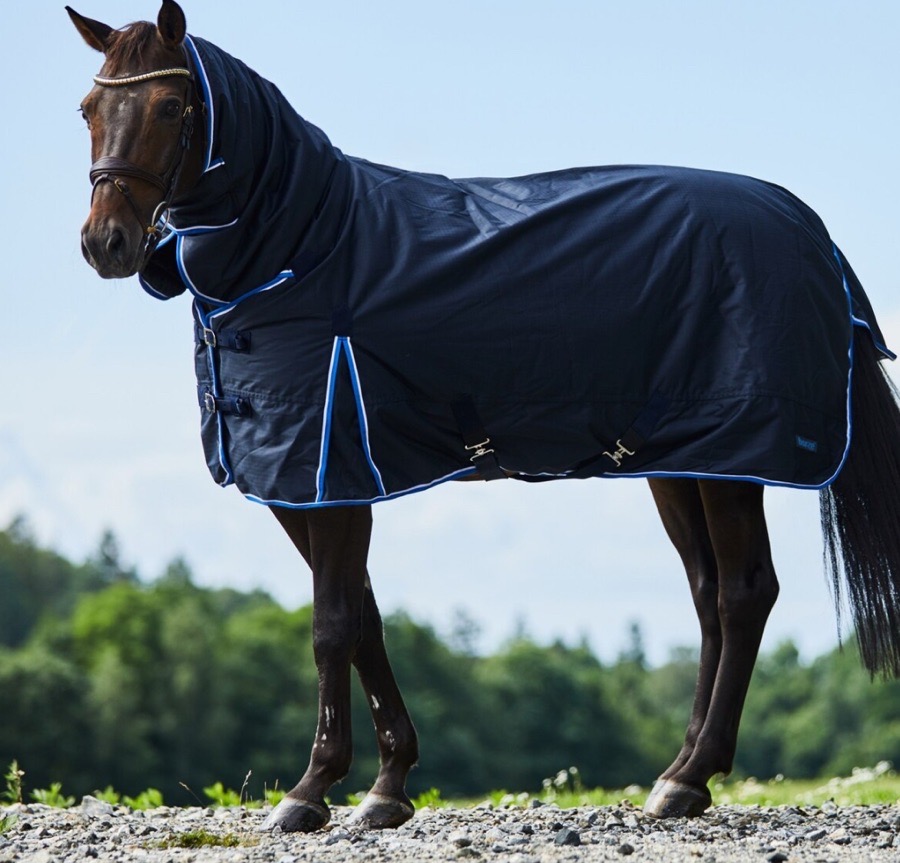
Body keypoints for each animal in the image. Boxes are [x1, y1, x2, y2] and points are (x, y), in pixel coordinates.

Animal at [68, 0, 900, 833]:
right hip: (680, 460)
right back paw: (677, 772)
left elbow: (331, 624)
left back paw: (691, 777)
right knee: (708, 598)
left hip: (732, 462)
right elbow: (364, 616)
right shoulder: (306, 485)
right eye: (88, 109)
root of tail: (812, 234)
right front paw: (388, 784)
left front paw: (310, 790)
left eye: (170, 106)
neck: (302, 246)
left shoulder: (327, 469)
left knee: (743, 591)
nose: (106, 244)